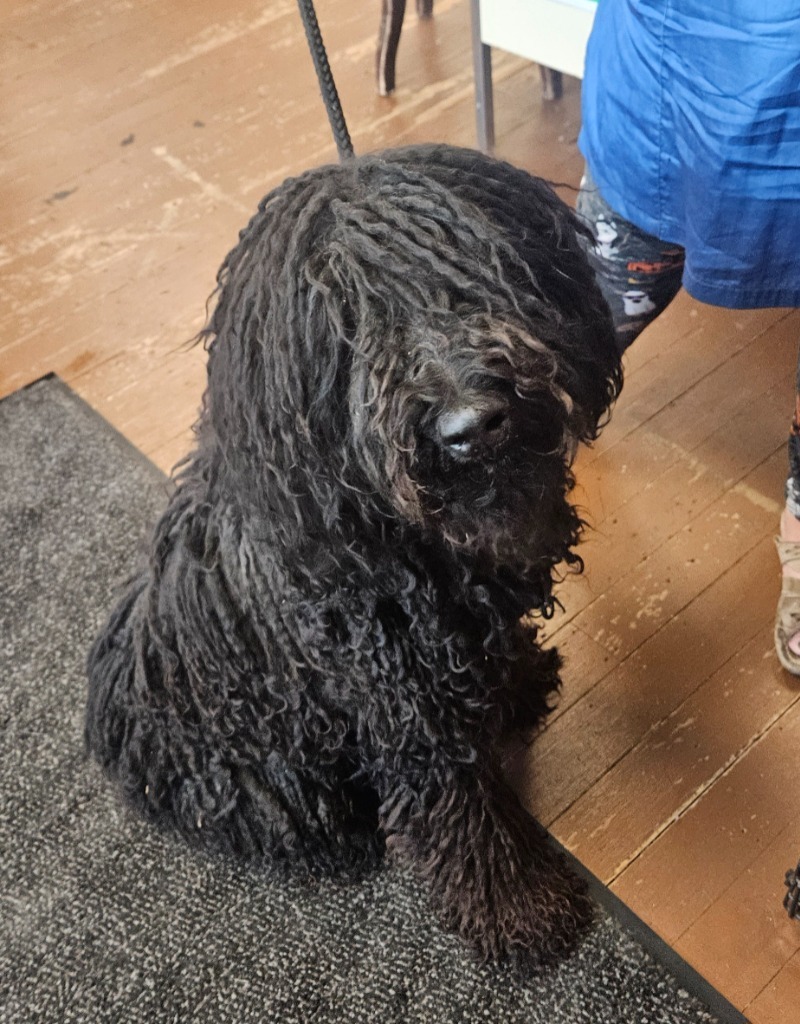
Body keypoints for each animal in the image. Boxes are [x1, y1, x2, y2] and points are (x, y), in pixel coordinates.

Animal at [89, 144, 622, 966]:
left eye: (472, 270)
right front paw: (519, 909)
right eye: (345, 327)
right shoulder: (397, 693)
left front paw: (522, 678)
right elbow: (455, 800)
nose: (471, 424)